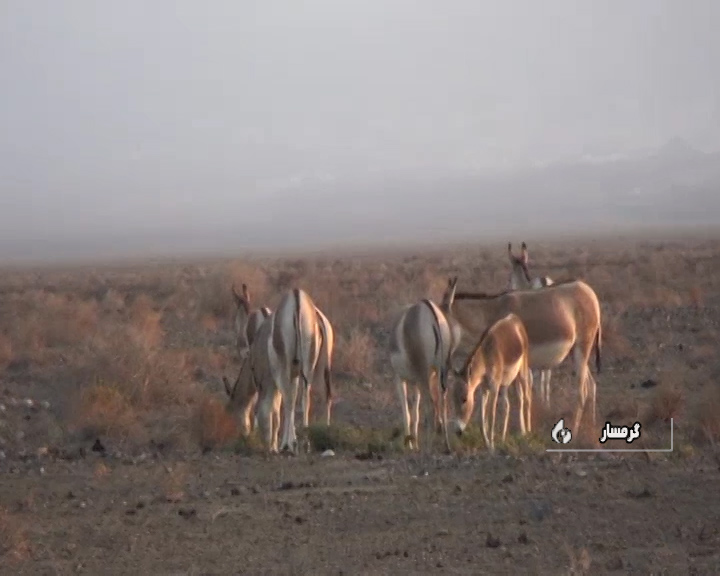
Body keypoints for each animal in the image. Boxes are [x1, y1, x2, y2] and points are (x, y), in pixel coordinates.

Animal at [452, 312, 532, 452]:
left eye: (464, 399)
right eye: (452, 399)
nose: (458, 431)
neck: (486, 355)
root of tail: (514, 318)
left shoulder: (494, 386)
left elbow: (491, 415)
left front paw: (492, 446)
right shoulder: (484, 388)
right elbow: (481, 418)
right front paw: (487, 443)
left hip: (522, 372)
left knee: (527, 397)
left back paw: (527, 432)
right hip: (508, 381)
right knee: (509, 404)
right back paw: (507, 437)